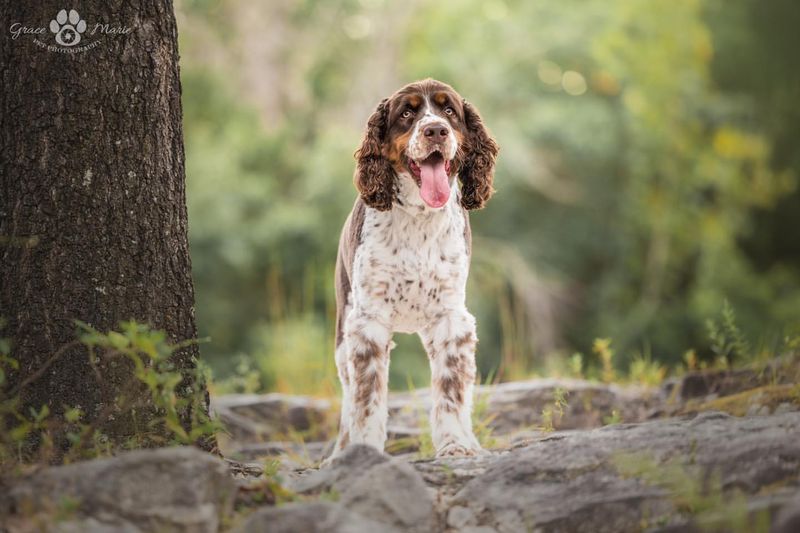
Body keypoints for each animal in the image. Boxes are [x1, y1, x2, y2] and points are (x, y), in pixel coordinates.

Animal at [328, 77, 496, 460]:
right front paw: (364, 450)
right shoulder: (367, 322)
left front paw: (456, 444)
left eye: (449, 110)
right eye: (407, 112)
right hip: (343, 333)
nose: (435, 130)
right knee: (347, 394)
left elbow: (451, 389)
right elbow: (366, 398)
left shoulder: (451, 318)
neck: (419, 218)